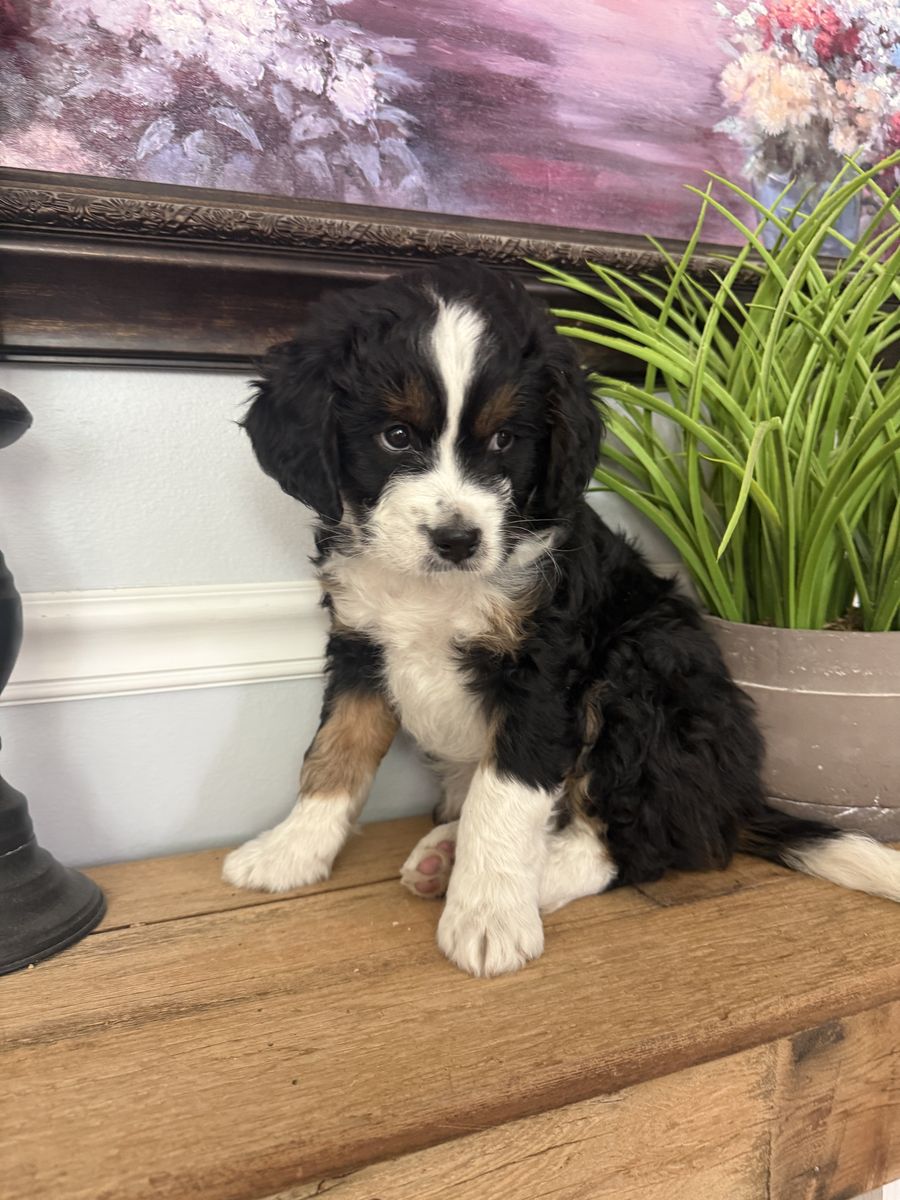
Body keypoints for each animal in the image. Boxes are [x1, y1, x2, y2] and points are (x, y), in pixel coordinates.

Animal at [223, 257, 900, 977]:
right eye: (395, 435)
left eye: (503, 439)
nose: (458, 539)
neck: (437, 590)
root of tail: (735, 795)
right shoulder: (360, 644)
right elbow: (334, 751)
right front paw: (291, 851)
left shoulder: (544, 671)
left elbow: (505, 794)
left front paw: (489, 915)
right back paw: (443, 854)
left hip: (640, 670)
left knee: (633, 844)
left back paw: (528, 877)